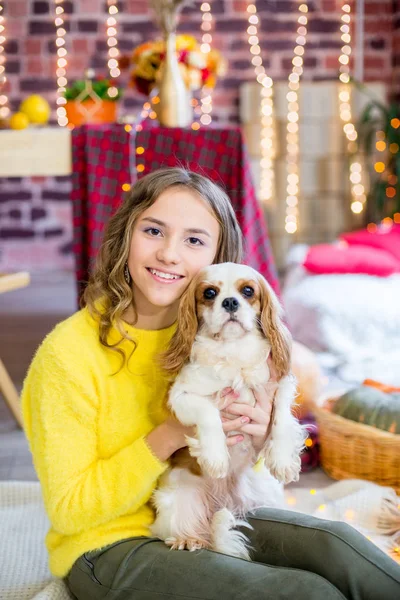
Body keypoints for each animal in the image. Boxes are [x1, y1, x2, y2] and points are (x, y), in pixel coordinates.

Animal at [150, 260, 306, 560]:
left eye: (248, 291)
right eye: (209, 293)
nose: (230, 302)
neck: (234, 351)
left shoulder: (280, 386)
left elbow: (281, 419)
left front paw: (282, 460)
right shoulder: (181, 397)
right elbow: (209, 414)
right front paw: (216, 457)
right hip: (177, 500)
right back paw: (188, 539)